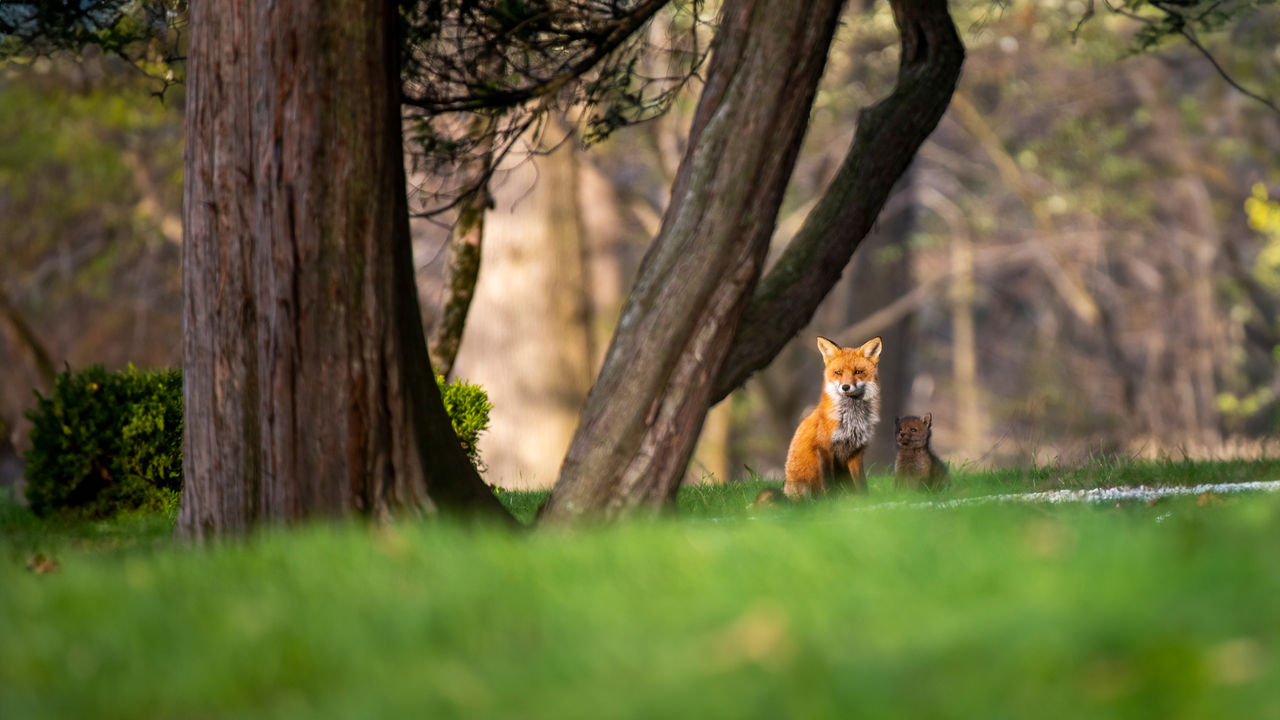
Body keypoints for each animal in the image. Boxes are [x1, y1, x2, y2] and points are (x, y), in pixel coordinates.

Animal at [782, 336, 883, 499]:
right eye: (838, 372)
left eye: (858, 372)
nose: (845, 387)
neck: (851, 420)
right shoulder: (824, 448)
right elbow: (828, 482)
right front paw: (830, 502)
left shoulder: (856, 451)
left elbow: (861, 483)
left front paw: (864, 500)